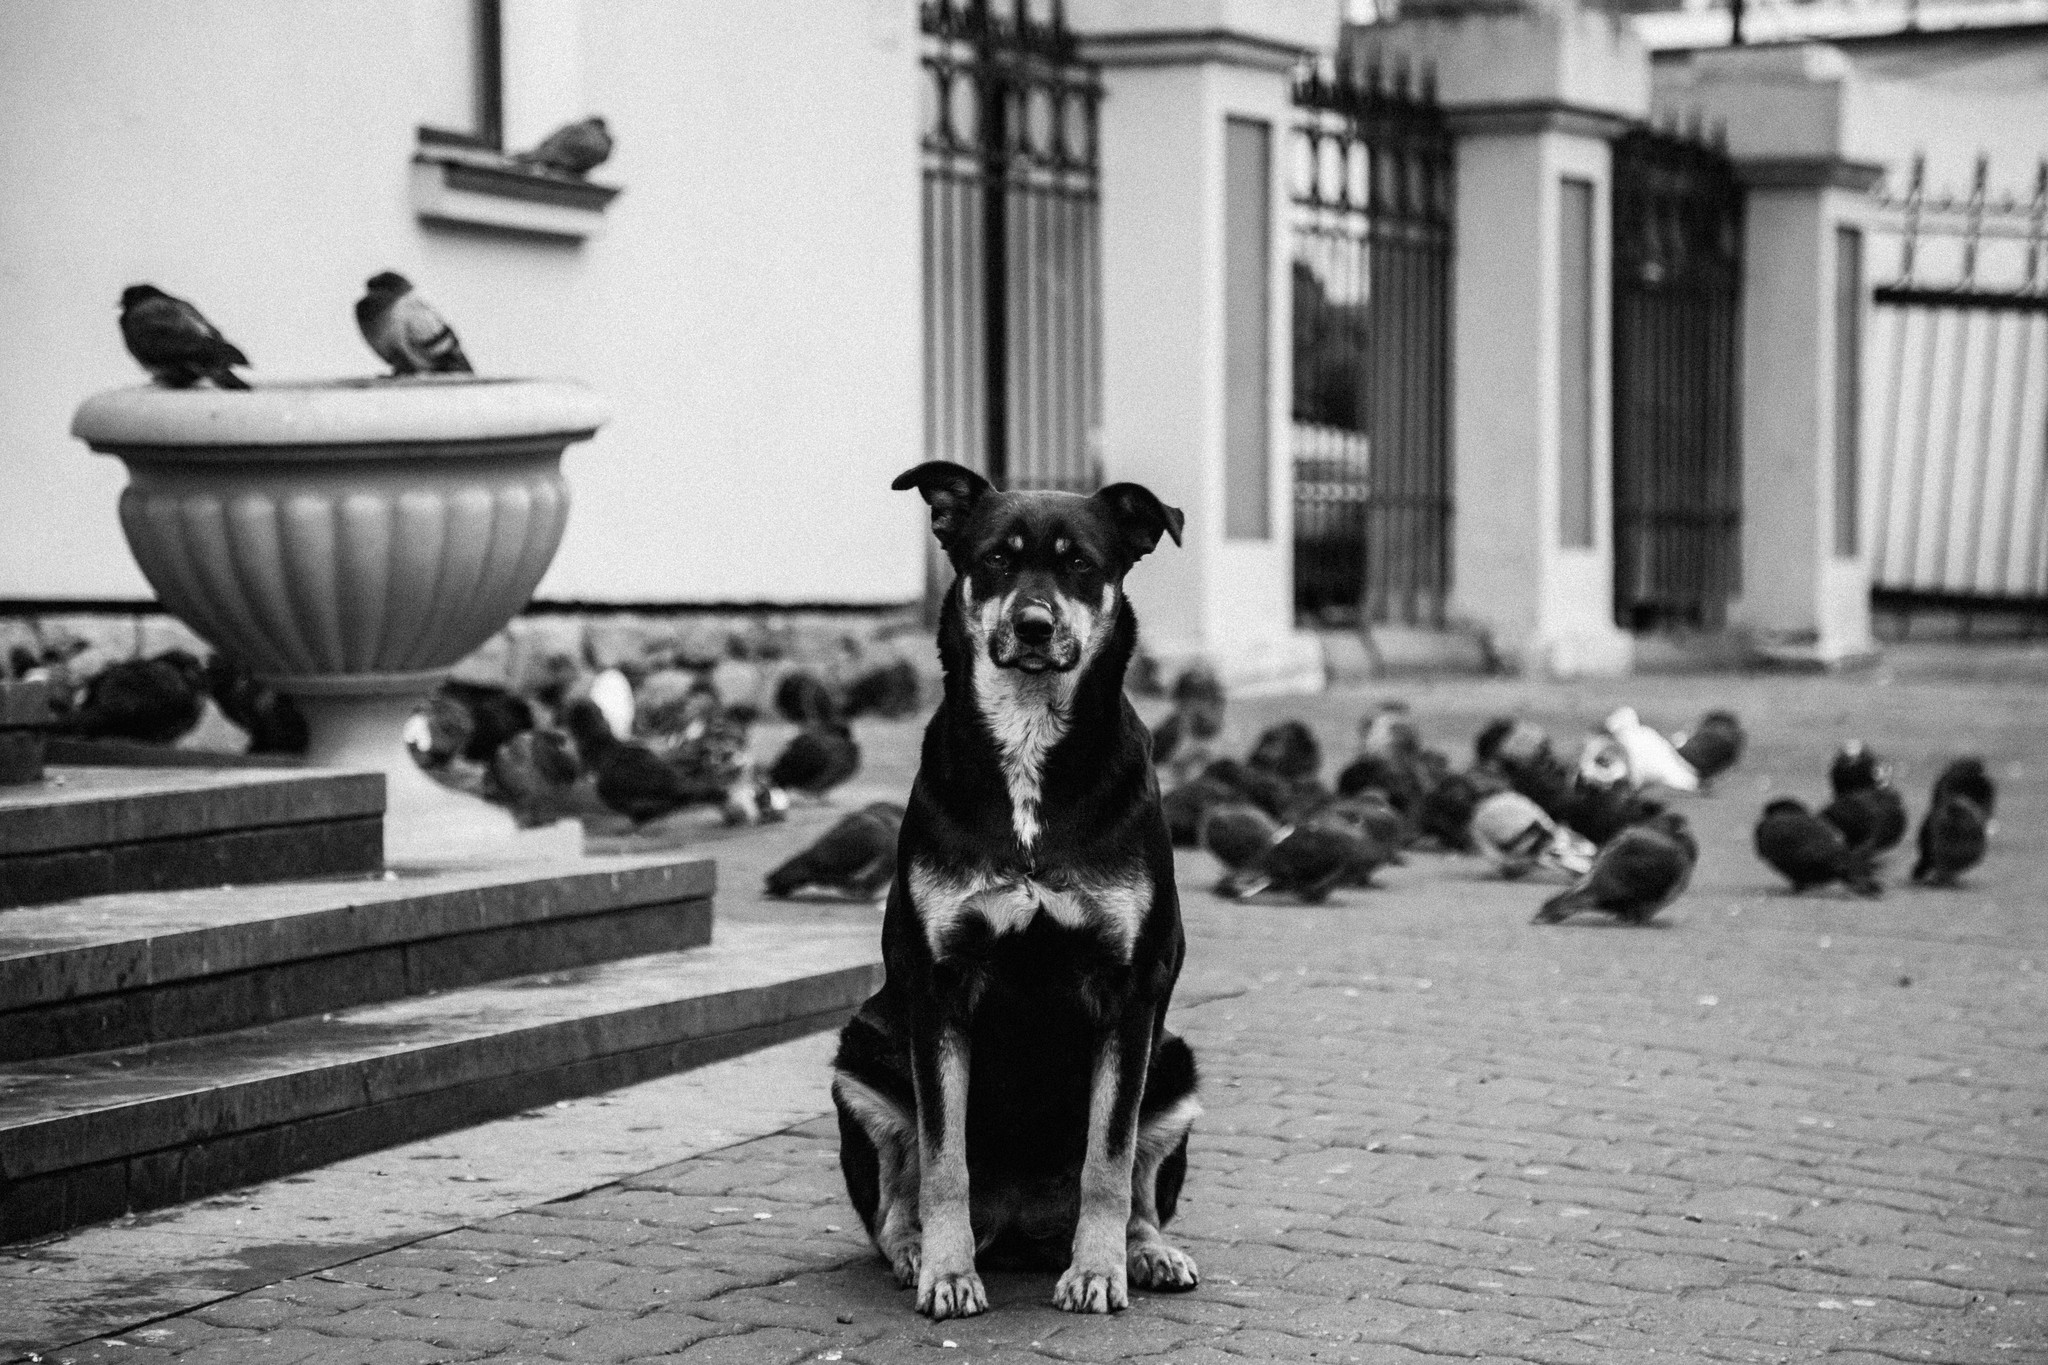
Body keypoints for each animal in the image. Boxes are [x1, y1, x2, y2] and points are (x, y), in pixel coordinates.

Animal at [831, 462, 1196, 1326]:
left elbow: (1109, 1156)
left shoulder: (1133, 990)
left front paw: (1097, 1270)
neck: (1029, 743)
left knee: (1139, 1187)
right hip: (863, 1056)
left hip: (1175, 1063)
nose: (1033, 625)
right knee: (892, 1201)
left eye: (1080, 565)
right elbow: (943, 1161)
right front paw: (947, 1271)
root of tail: (1025, 1224)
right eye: (995, 558)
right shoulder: (938, 985)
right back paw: (913, 1249)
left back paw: (1147, 1250)